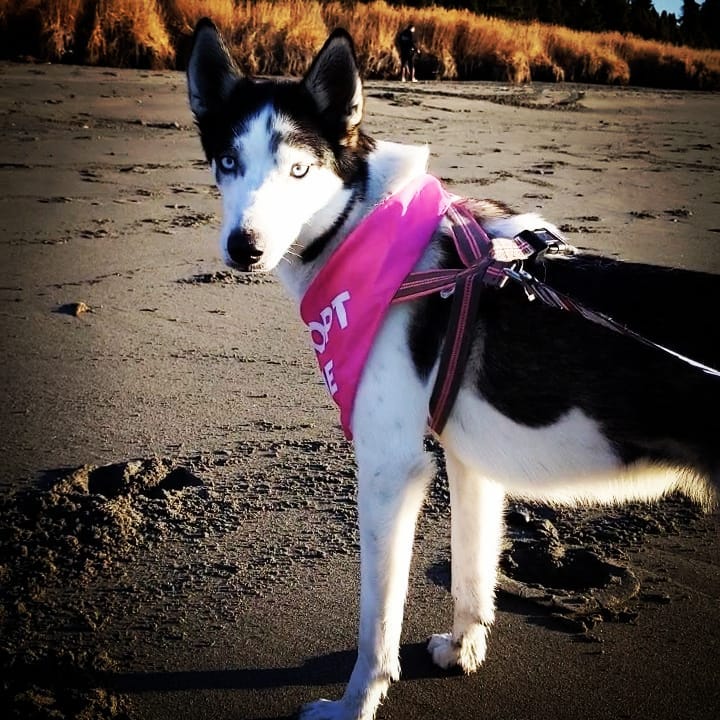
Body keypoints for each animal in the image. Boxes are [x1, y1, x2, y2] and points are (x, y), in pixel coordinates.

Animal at [187, 19, 720, 716]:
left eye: (299, 169)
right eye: (228, 162)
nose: (243, 248)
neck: (370, 229)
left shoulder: (390, 472)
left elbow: (377, 625)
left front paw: (355, 703)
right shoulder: (471, 462)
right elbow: (471, 573)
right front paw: (466, 647)